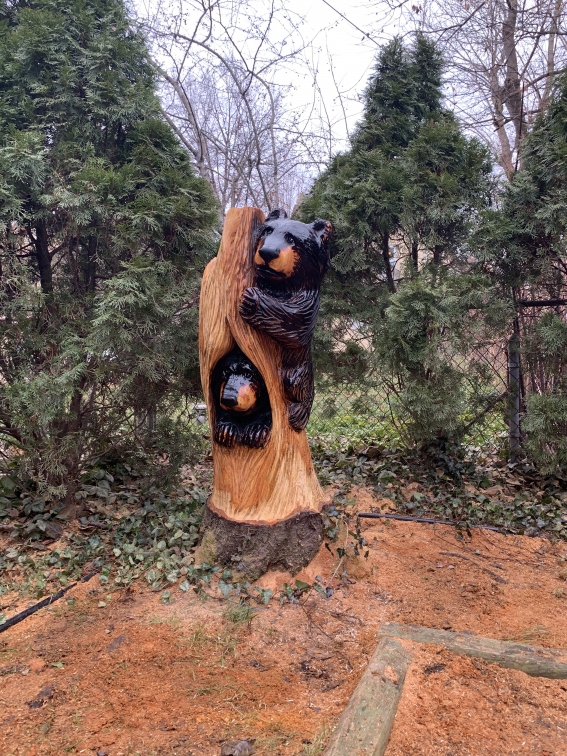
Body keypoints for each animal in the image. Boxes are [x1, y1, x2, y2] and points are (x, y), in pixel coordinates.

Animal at [239, 209, 332, 432]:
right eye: (267, 231)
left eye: (291, 239)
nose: (267, 253)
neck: (280, 286)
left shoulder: (308, 305)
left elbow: (293, 324)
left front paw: (251, 299)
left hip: (297, 373)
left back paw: (298, 413)